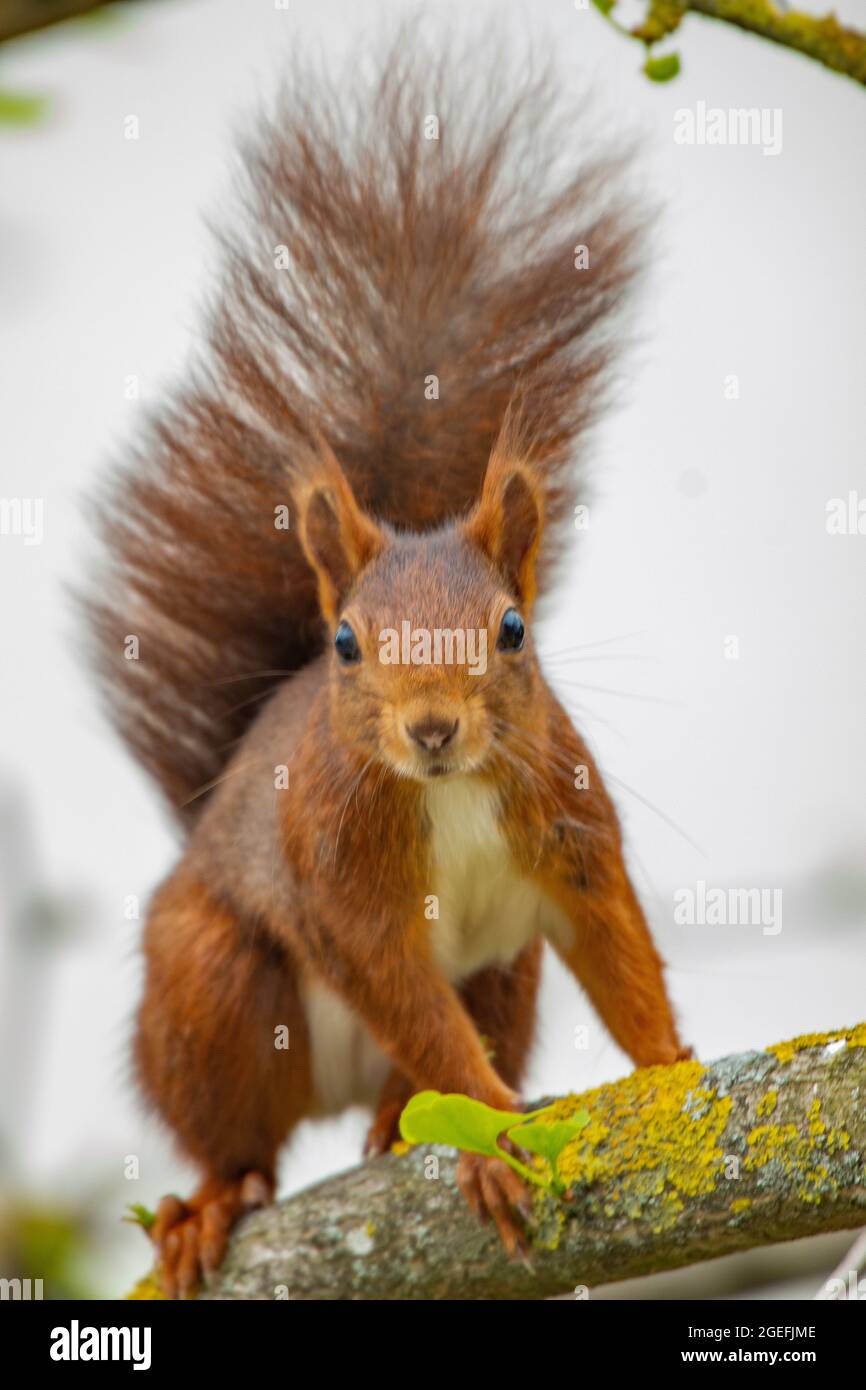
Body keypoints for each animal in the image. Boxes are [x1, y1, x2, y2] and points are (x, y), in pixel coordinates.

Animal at [87, 34, 690, 1297]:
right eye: (347, 644)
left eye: (511, 630)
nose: (431, 726)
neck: (447, 794)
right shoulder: (343, 886)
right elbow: (407, 1000)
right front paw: (495, 1138)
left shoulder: (569, 834)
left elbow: (614, 945)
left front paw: (668, 1068)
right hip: (210, 985)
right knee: (240, 1133)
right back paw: (210, 1204)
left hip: (506, 980)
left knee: (426, 1065)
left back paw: (385, 1126)